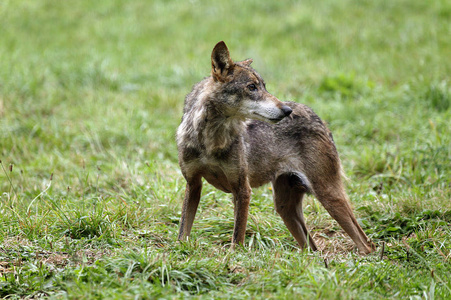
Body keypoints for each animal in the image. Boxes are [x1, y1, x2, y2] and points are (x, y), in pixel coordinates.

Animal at [176, 41, 374, 254]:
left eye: (264, 86)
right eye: (252, 87)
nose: (287, 111)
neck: (210, 140)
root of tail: (317, 117)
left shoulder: (242, 190)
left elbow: (237, 238)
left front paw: (233, 257)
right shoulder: (194, 184)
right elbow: (183, 231)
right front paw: (180, 251)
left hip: (328, 196)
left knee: (365, 243)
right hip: (285, 209)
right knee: (312, 247)